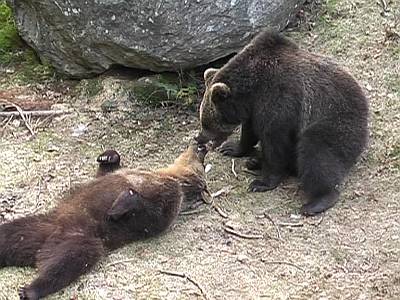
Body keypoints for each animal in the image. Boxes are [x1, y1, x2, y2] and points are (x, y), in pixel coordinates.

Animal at [0, 144, 209, 298]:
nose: (202, 146)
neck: (165, 174)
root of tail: (45, 244)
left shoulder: (167, 196)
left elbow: (152, 217)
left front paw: (121, 205)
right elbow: (104, 172)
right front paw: (108, 157)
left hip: (81, 238)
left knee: (67, 261)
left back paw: (30, 290)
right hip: (34, 226)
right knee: (8, 235)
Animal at [195, 29, 368, 216]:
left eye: (207, 122)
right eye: (203, 119)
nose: (199, 138)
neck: (253, 87)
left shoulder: (281, 102)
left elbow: (275, 143)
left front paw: (262, 183)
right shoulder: (255, 109)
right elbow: (250, 131)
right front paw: (232, 148)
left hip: (336, 124)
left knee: (316, 153)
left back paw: (317, 201)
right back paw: (255, 162)